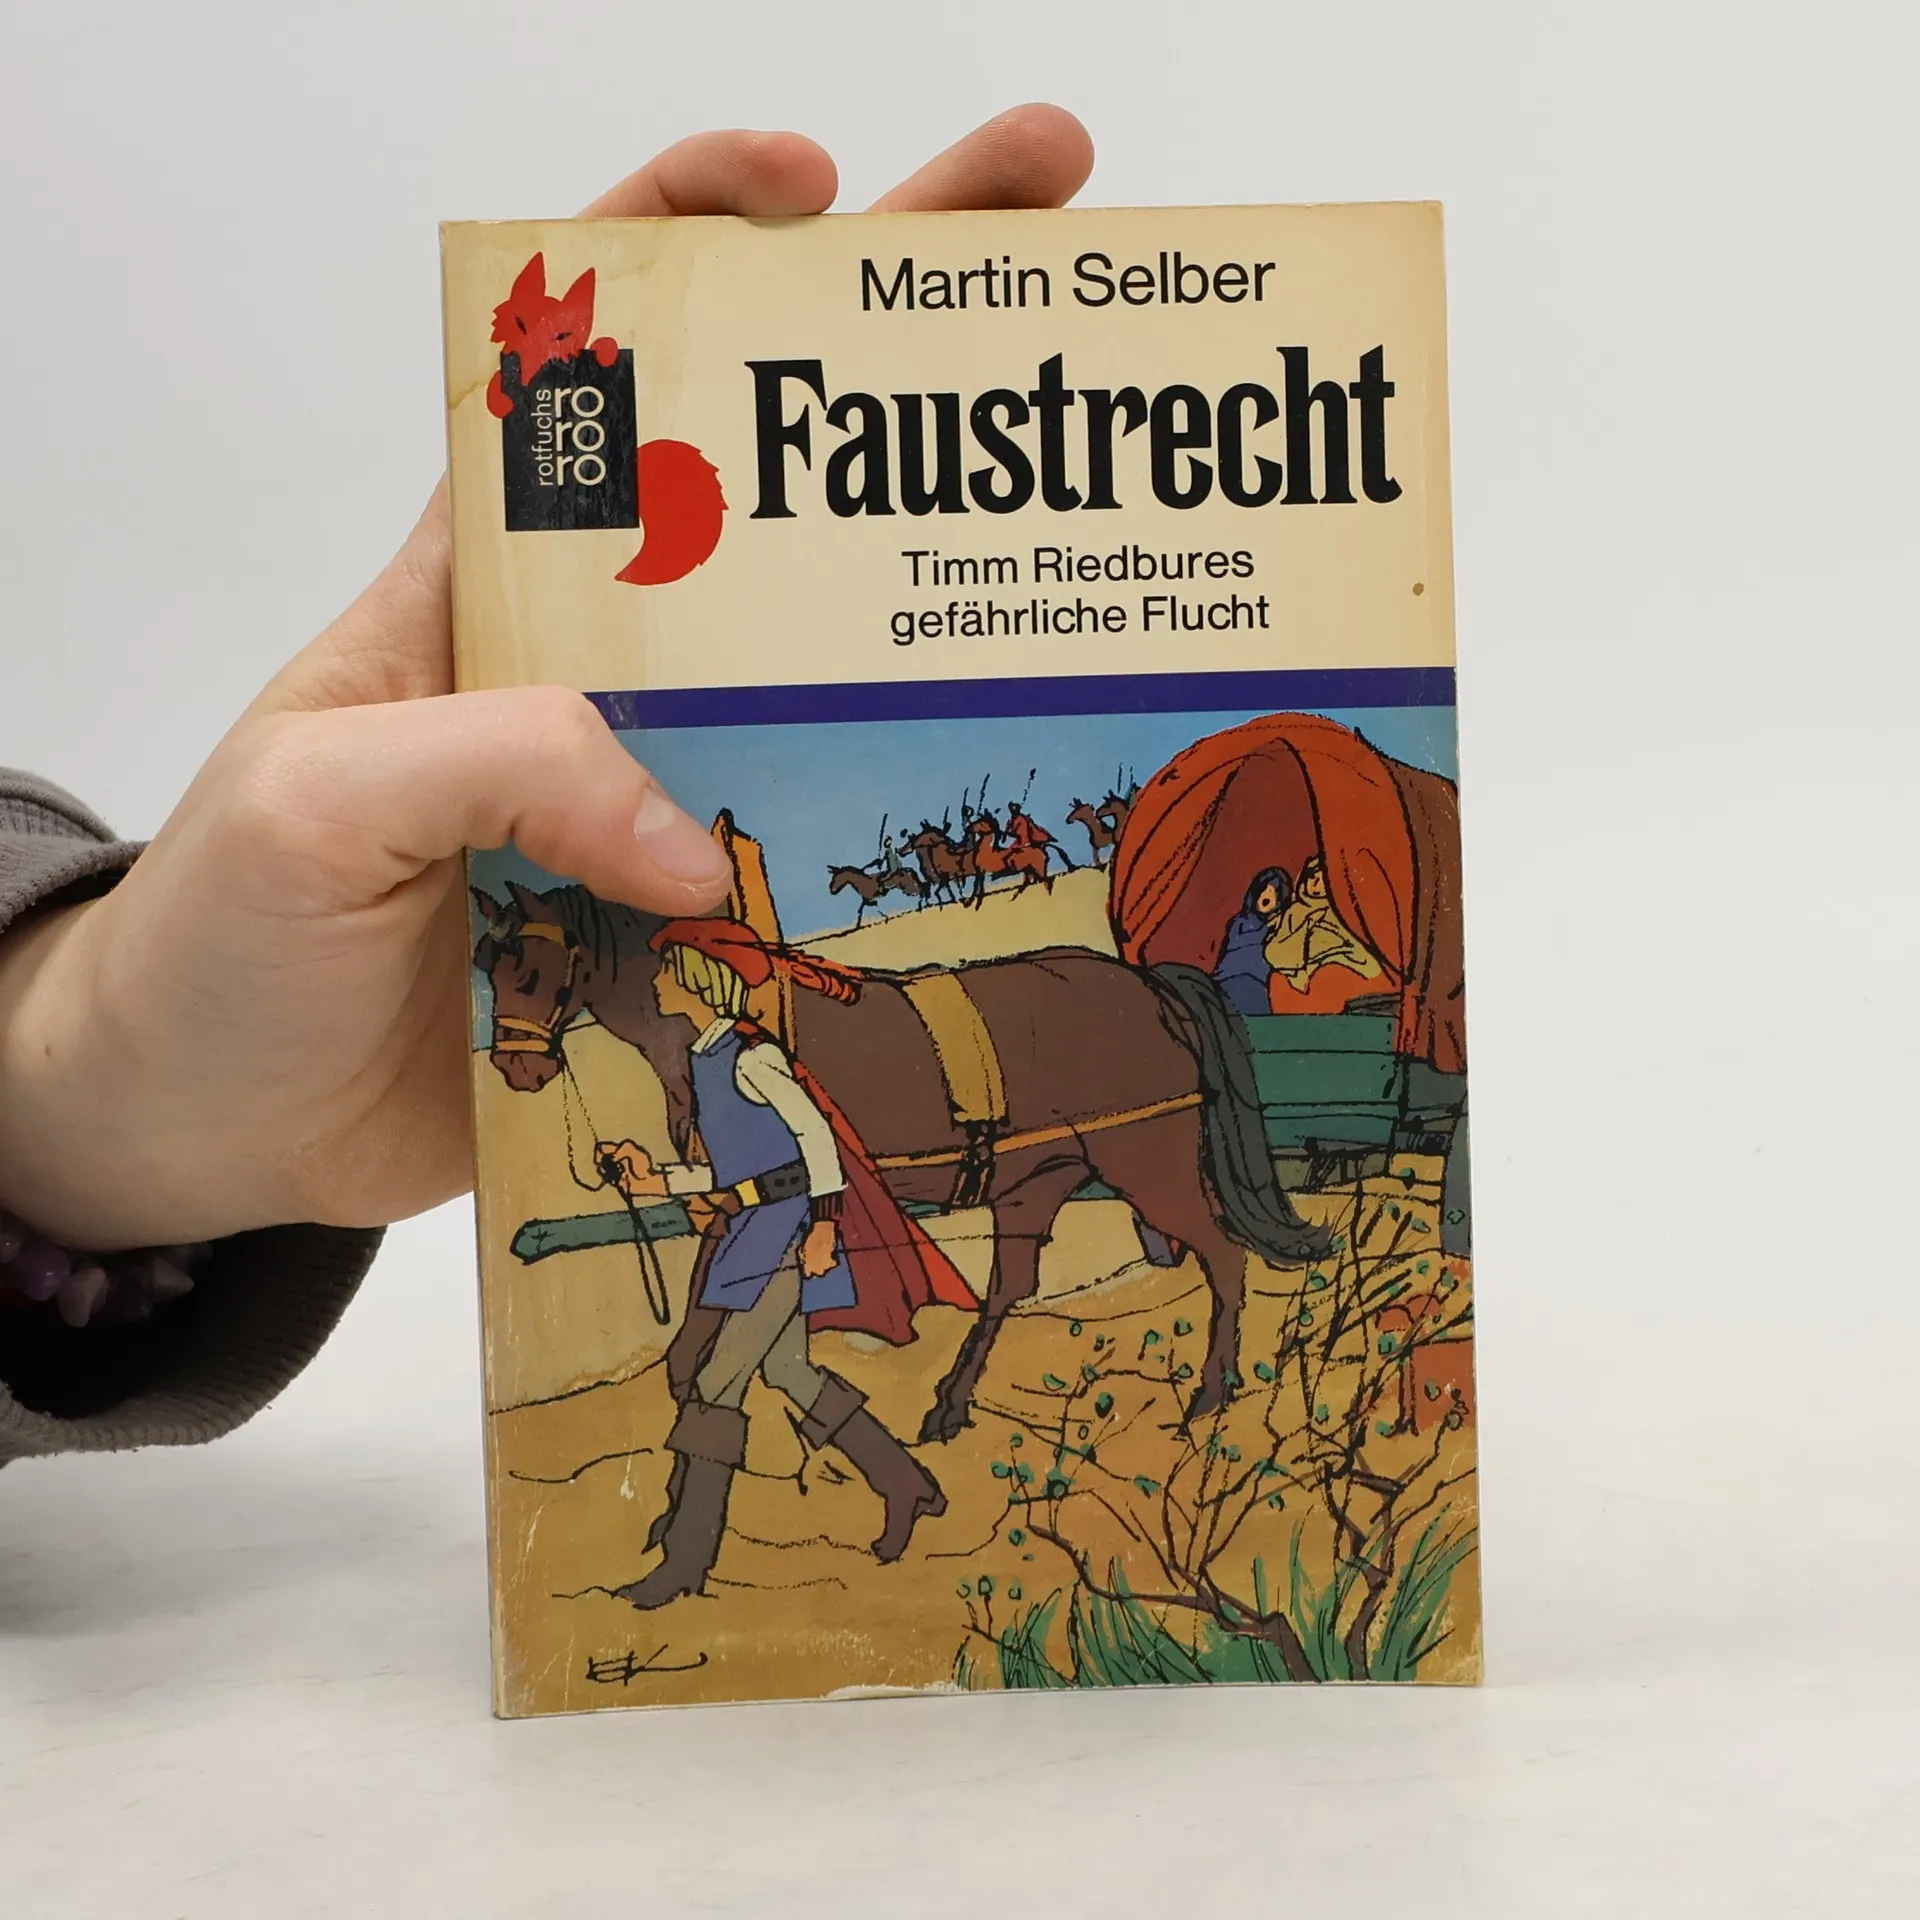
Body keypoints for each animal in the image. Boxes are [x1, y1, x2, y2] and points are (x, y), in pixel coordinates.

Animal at [472, 879, 1330, 1443]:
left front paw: (692, 1380)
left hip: (1147, 1161)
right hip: (1036, 1180)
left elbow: (712, 1284)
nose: (516, 1067)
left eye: (533, 970)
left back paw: (1212, 1392)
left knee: (1221, 1253)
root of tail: (1149, 988)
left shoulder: (770, 1178)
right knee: (1009, 1287)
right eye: (490, 968)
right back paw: (950, 1403)